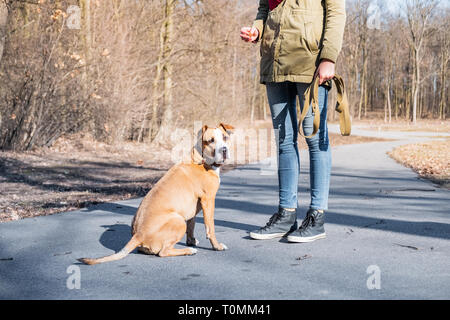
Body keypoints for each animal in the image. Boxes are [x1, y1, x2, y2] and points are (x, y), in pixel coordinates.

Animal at [80, 123, 236, 264]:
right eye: (211, 140)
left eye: (225, 137)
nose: (224, 150)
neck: (202, 161)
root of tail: (138, 235)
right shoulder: (208, 201)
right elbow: (210, 227)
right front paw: (216, 246)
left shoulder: (193, 208)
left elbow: (191, 225)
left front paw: (191, 241)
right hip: (178, 220)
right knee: (163, 252)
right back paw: (188, 251)